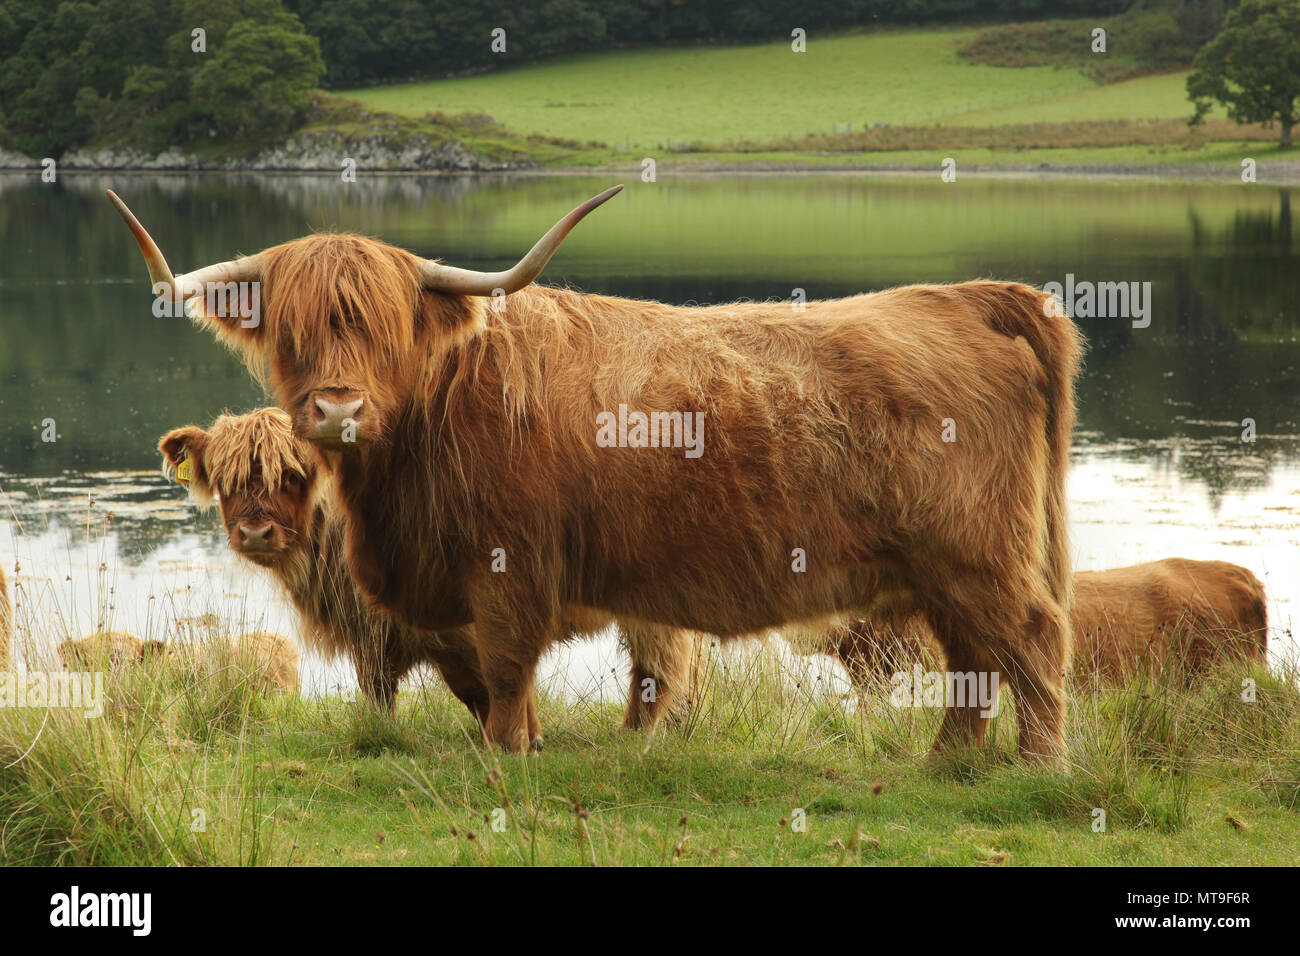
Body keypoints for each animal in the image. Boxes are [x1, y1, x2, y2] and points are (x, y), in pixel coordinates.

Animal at [109, 187, 1086, 764]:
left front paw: (506, 756)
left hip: (978, 554)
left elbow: (504, 671)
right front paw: (526, 744)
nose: (337, 409)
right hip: (939, 569)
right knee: (973, 657)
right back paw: (950, 764)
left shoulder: (508, 572)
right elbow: (487, 678)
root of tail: (973, 296)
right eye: (291, 329)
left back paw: (1034, 766)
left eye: (389, 327)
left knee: (1031, 639)